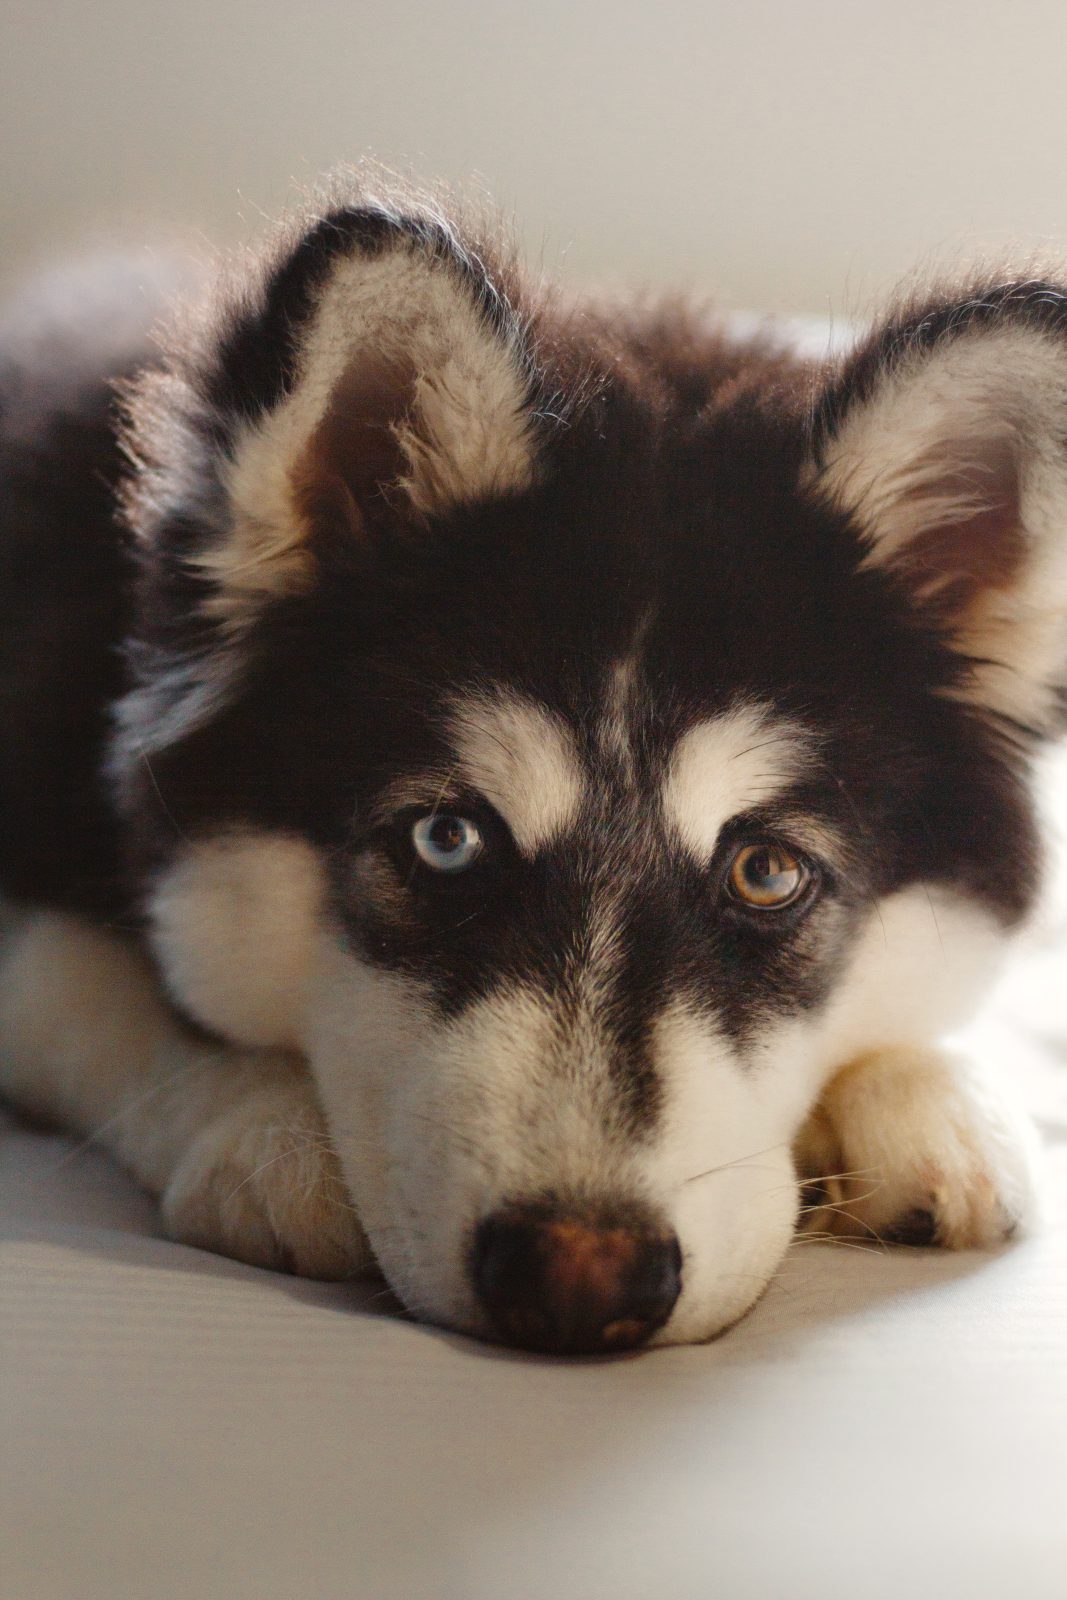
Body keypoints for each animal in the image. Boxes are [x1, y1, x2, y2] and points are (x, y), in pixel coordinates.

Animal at [0, 181, 1062, 1356]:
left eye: (767, 873)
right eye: (445, 839)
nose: (579, 1278)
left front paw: (933, 1093)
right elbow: (91, 991)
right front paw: (262, 1124)